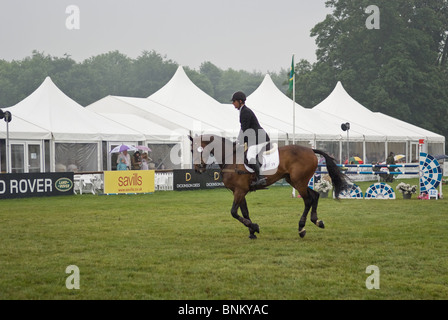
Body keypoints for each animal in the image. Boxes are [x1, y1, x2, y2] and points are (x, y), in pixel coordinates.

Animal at [187, 134, 348, 239]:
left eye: (198, 150)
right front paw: (252, 232)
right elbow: (244, 212)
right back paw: (317, 221)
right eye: (190, 151)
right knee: (315, 195)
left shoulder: (239, 191)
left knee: (308, 200)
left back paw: (301, 228)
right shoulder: (240, 191)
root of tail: (310, 150)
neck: (230, 159)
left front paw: (254, 227)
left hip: (299, 181)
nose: (198, 169)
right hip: (295, 181)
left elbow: (233, 212)